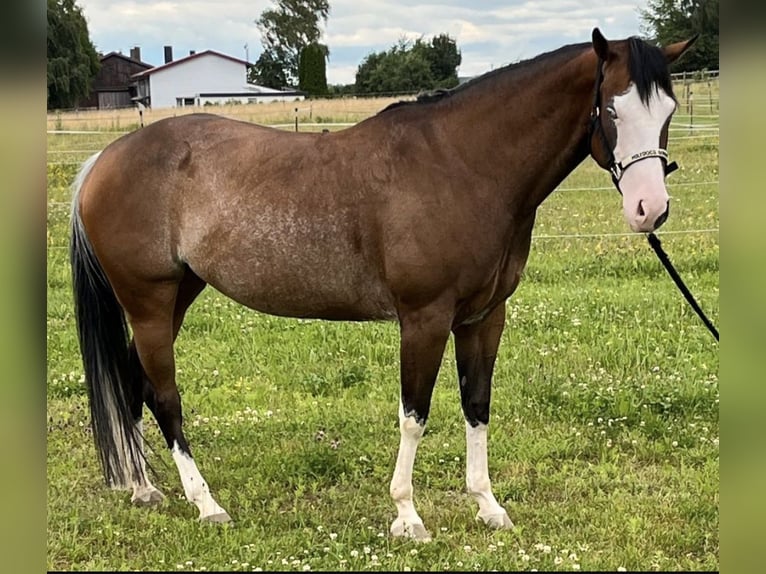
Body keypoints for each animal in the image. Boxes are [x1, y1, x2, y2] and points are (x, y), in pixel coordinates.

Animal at [70, 29, 696, 544]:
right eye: (611, 109)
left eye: (667, 109)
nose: (650, 209)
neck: (464, 166)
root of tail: (103, 159)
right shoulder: (424, 318)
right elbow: (414, 415)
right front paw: (407, 516)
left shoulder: (483, 318)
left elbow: (477, 406)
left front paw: (488, 506)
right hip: (150, 302)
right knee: (165, 397)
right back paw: (206, 504)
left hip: (178, 295)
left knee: (133, 382)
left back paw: (144, 489)